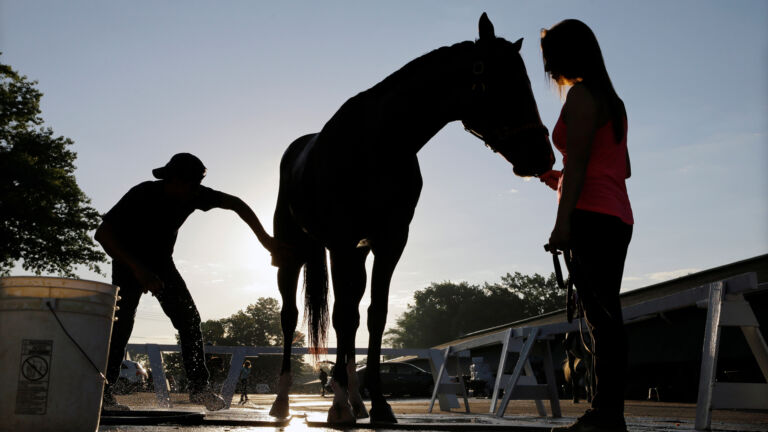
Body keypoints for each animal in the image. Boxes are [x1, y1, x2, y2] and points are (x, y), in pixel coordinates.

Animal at [269, 13, 554, 424]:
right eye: (506, 83)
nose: (542, 156)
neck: (379, 142)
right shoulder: (341, 241)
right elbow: (340, 317)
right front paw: (337, 406)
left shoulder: (390, 241)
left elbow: (374, 315)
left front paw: (378, 403)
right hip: (294, 253)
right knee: (291, 317)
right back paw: (283, 401)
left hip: (357, 254)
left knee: (352, 315)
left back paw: (355, 400)